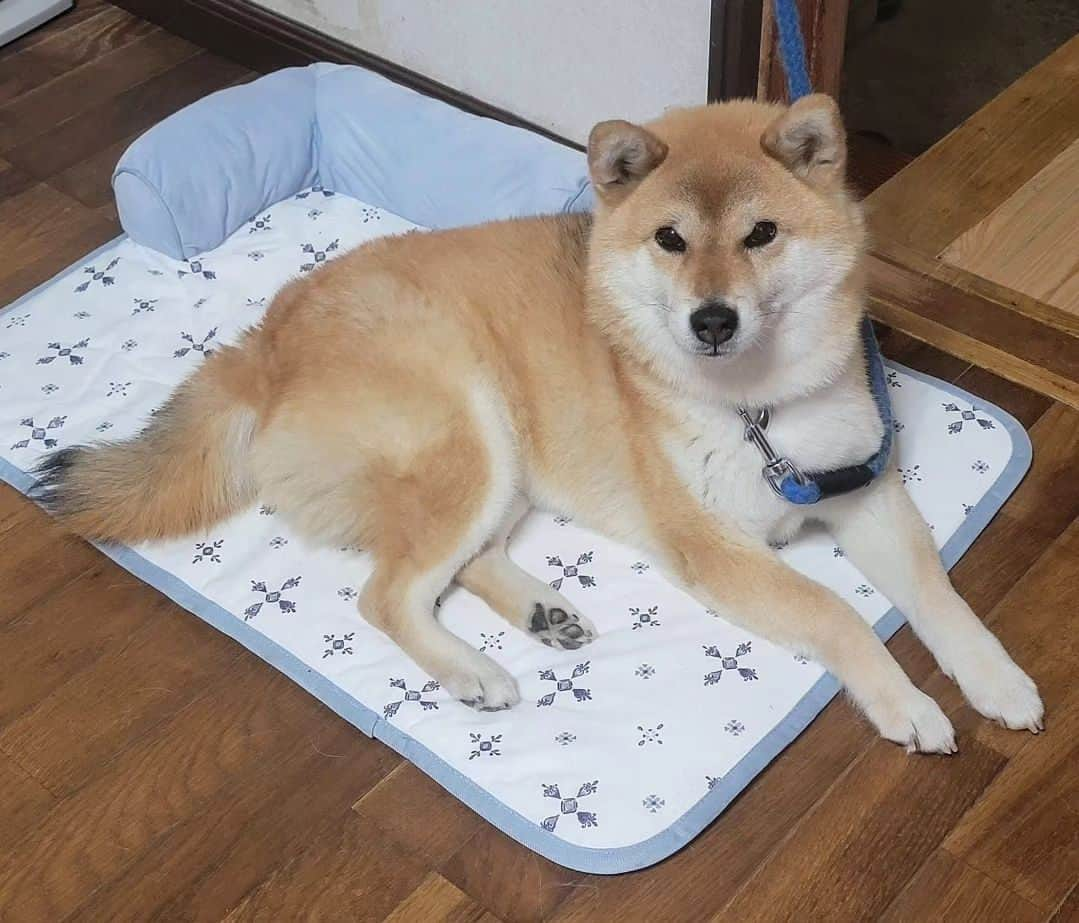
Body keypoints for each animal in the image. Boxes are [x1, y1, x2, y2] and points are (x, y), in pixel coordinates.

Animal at [35, 97, 1044, 755]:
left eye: (760, 234)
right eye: (670, 240)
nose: (712, 320)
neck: (758, 407)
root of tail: (265, 343)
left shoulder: (861, 489)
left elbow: (940, 594)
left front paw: (994, 677)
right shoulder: (712, 549)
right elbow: (838, 614)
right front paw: (904, 704)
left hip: (503, 458)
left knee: (451, 561)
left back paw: (541, 611)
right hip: (469, 429)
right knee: (386, 593)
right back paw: (471, 670)